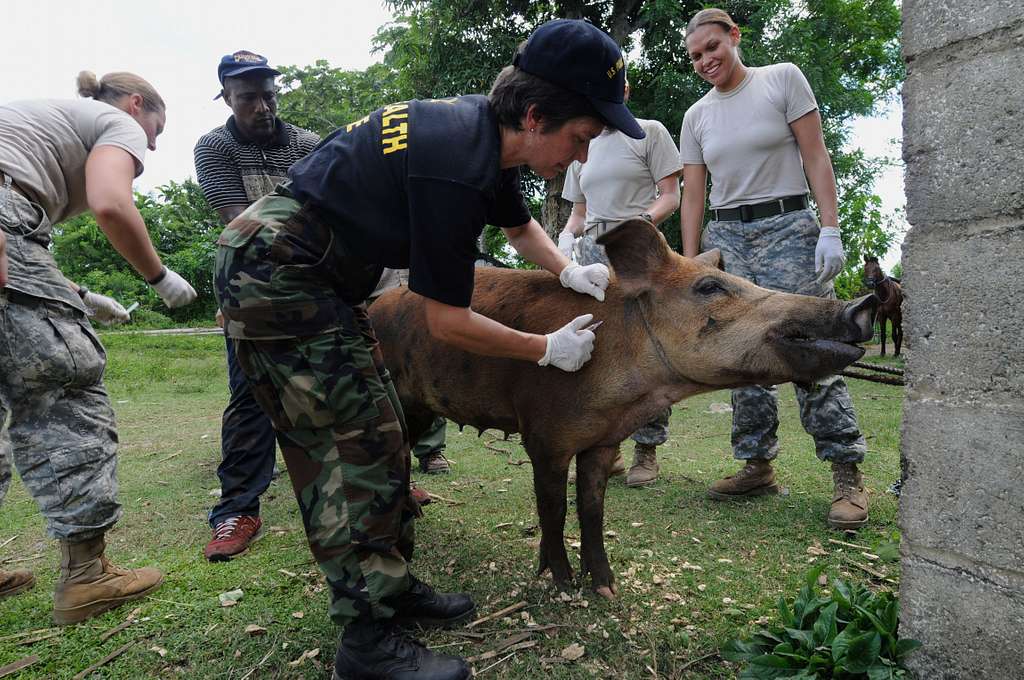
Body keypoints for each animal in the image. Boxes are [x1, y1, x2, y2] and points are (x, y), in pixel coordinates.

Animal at [370, 220, 880, 598]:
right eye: (710, 287)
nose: (864, 302)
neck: (634, 391)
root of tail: (375, 306)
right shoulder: (544, 436)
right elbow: (553, 508)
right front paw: (560, 584)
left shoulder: (603, 440)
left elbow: (593, 509)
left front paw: (606, 589)